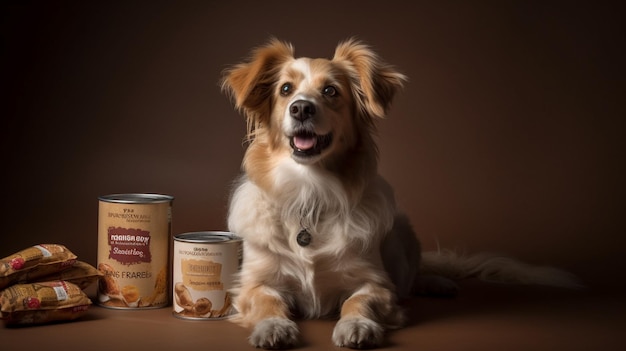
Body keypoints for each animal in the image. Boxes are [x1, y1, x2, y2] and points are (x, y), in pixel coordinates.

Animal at [221, 38, 580, 350]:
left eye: (330, 90)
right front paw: (273, 326)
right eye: (285, 89)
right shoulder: (253, 283)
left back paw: (436, 283)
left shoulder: (377, 283)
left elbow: (359, 300)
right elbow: (267, 302)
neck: (309, 194)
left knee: (412, 276)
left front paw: (357, 325)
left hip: (402, 234)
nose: (301, 109)